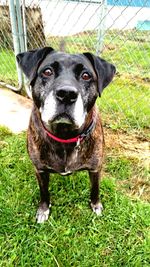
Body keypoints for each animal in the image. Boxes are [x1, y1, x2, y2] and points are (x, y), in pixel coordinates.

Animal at [16, 47, 115, 224]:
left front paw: (96, 205)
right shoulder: (40, 170)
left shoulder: (95, 169)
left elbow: (95, 189)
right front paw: (43, 210)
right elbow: (44, 192)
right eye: (47, 71)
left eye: (86, 75)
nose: (67, 94)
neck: (64, 135)